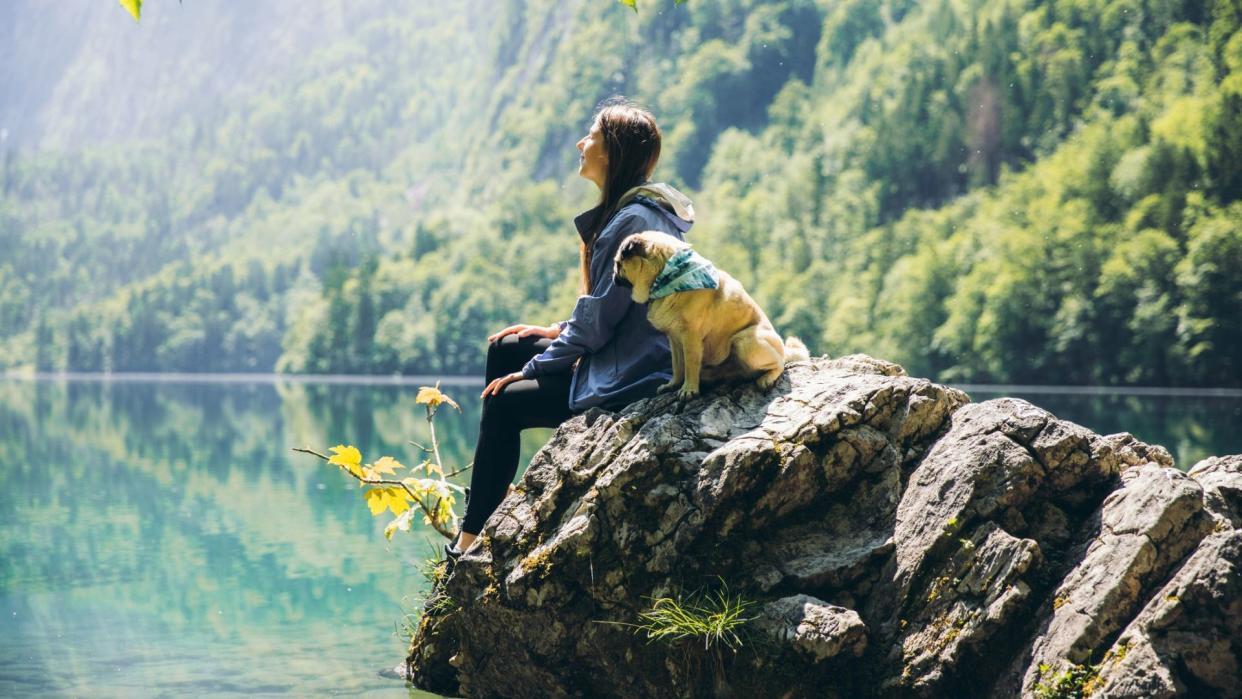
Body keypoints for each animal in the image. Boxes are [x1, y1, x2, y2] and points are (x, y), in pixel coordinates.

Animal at [613, 230, 809, 399]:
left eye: (618, 264)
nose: (613, 275)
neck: (666, 275)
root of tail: (783, 349)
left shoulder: (691, 337)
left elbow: (690, 365)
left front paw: (689, 389)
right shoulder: (674, 338)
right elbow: (677, 366)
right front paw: (673, 385)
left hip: (745, 342)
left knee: (779, 363)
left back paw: (766, 378)